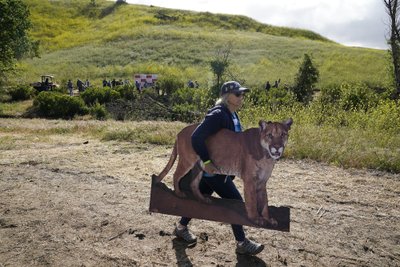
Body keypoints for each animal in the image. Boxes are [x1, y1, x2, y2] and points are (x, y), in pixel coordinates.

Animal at [152, 119, 292, 226]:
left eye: (283, 134)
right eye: (270, 135)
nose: (277, 147)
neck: (267, 157)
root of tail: (180, 132)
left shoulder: (262, 182)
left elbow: (264, 202)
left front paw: (268, 219)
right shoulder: (250, 180)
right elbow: (252, 201)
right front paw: (256, 218)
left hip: (199, 166)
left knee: (193, 184)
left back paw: (203, 199)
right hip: (187, 161)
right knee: (176, 175)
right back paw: (179, 193)